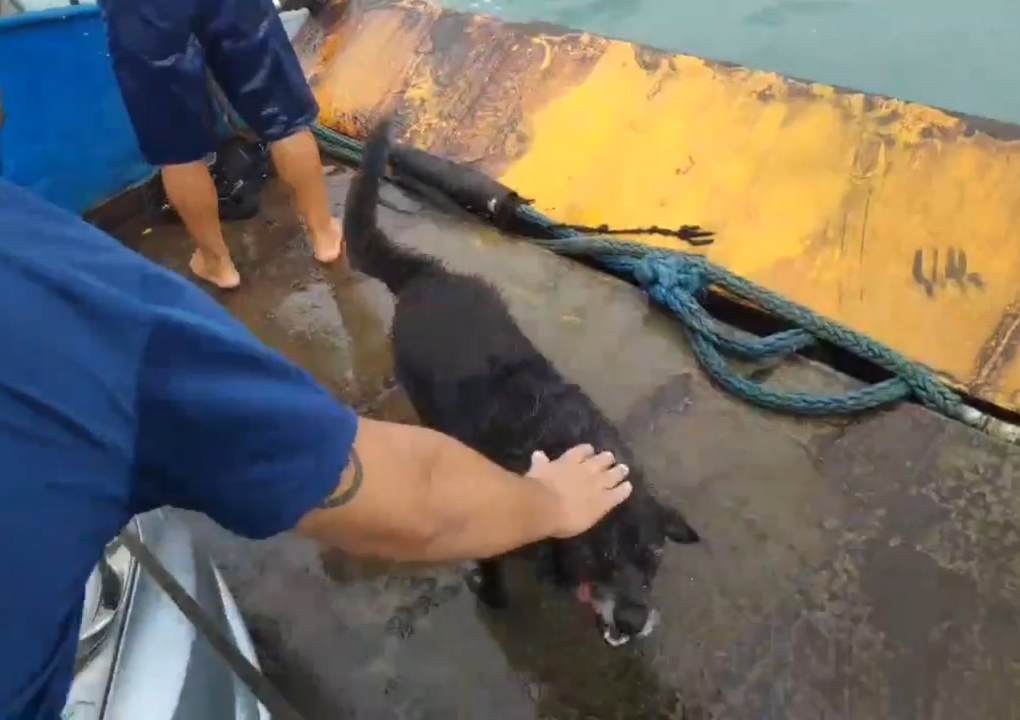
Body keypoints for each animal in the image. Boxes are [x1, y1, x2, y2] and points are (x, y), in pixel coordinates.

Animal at [342, 117, 701, 644]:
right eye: (602, 552)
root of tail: (426, 274)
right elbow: (493, 574)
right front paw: (492, 600)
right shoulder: (495, 528)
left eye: (653, 554)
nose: (634, 621)